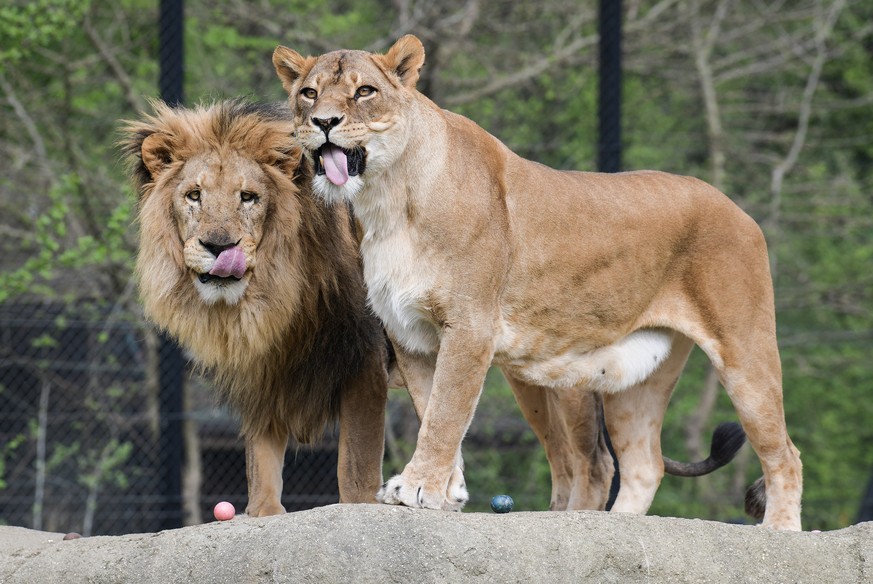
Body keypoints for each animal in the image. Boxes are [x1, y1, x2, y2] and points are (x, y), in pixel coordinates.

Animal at [121, 100, 386, 516]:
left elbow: (357, 461)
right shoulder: (260, 366)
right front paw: (263, 512)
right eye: (194, 195)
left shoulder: (366, 354)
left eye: (247, 197)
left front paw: (359, 508)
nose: (218, 246)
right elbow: (260, 456)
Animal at [272, 36, 796, 528]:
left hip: (742, 350)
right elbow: (432, 408)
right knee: (644, 464)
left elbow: (445, 412)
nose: (323, 122)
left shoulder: (470, 326)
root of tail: (737, 210)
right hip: (636, 378)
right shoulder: (412, 335)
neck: (386, 198)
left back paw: (780, 532)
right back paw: (616, 527)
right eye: (309, 93)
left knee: (782, 453)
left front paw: (417, 488)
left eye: (364, 91)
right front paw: (448, 490)